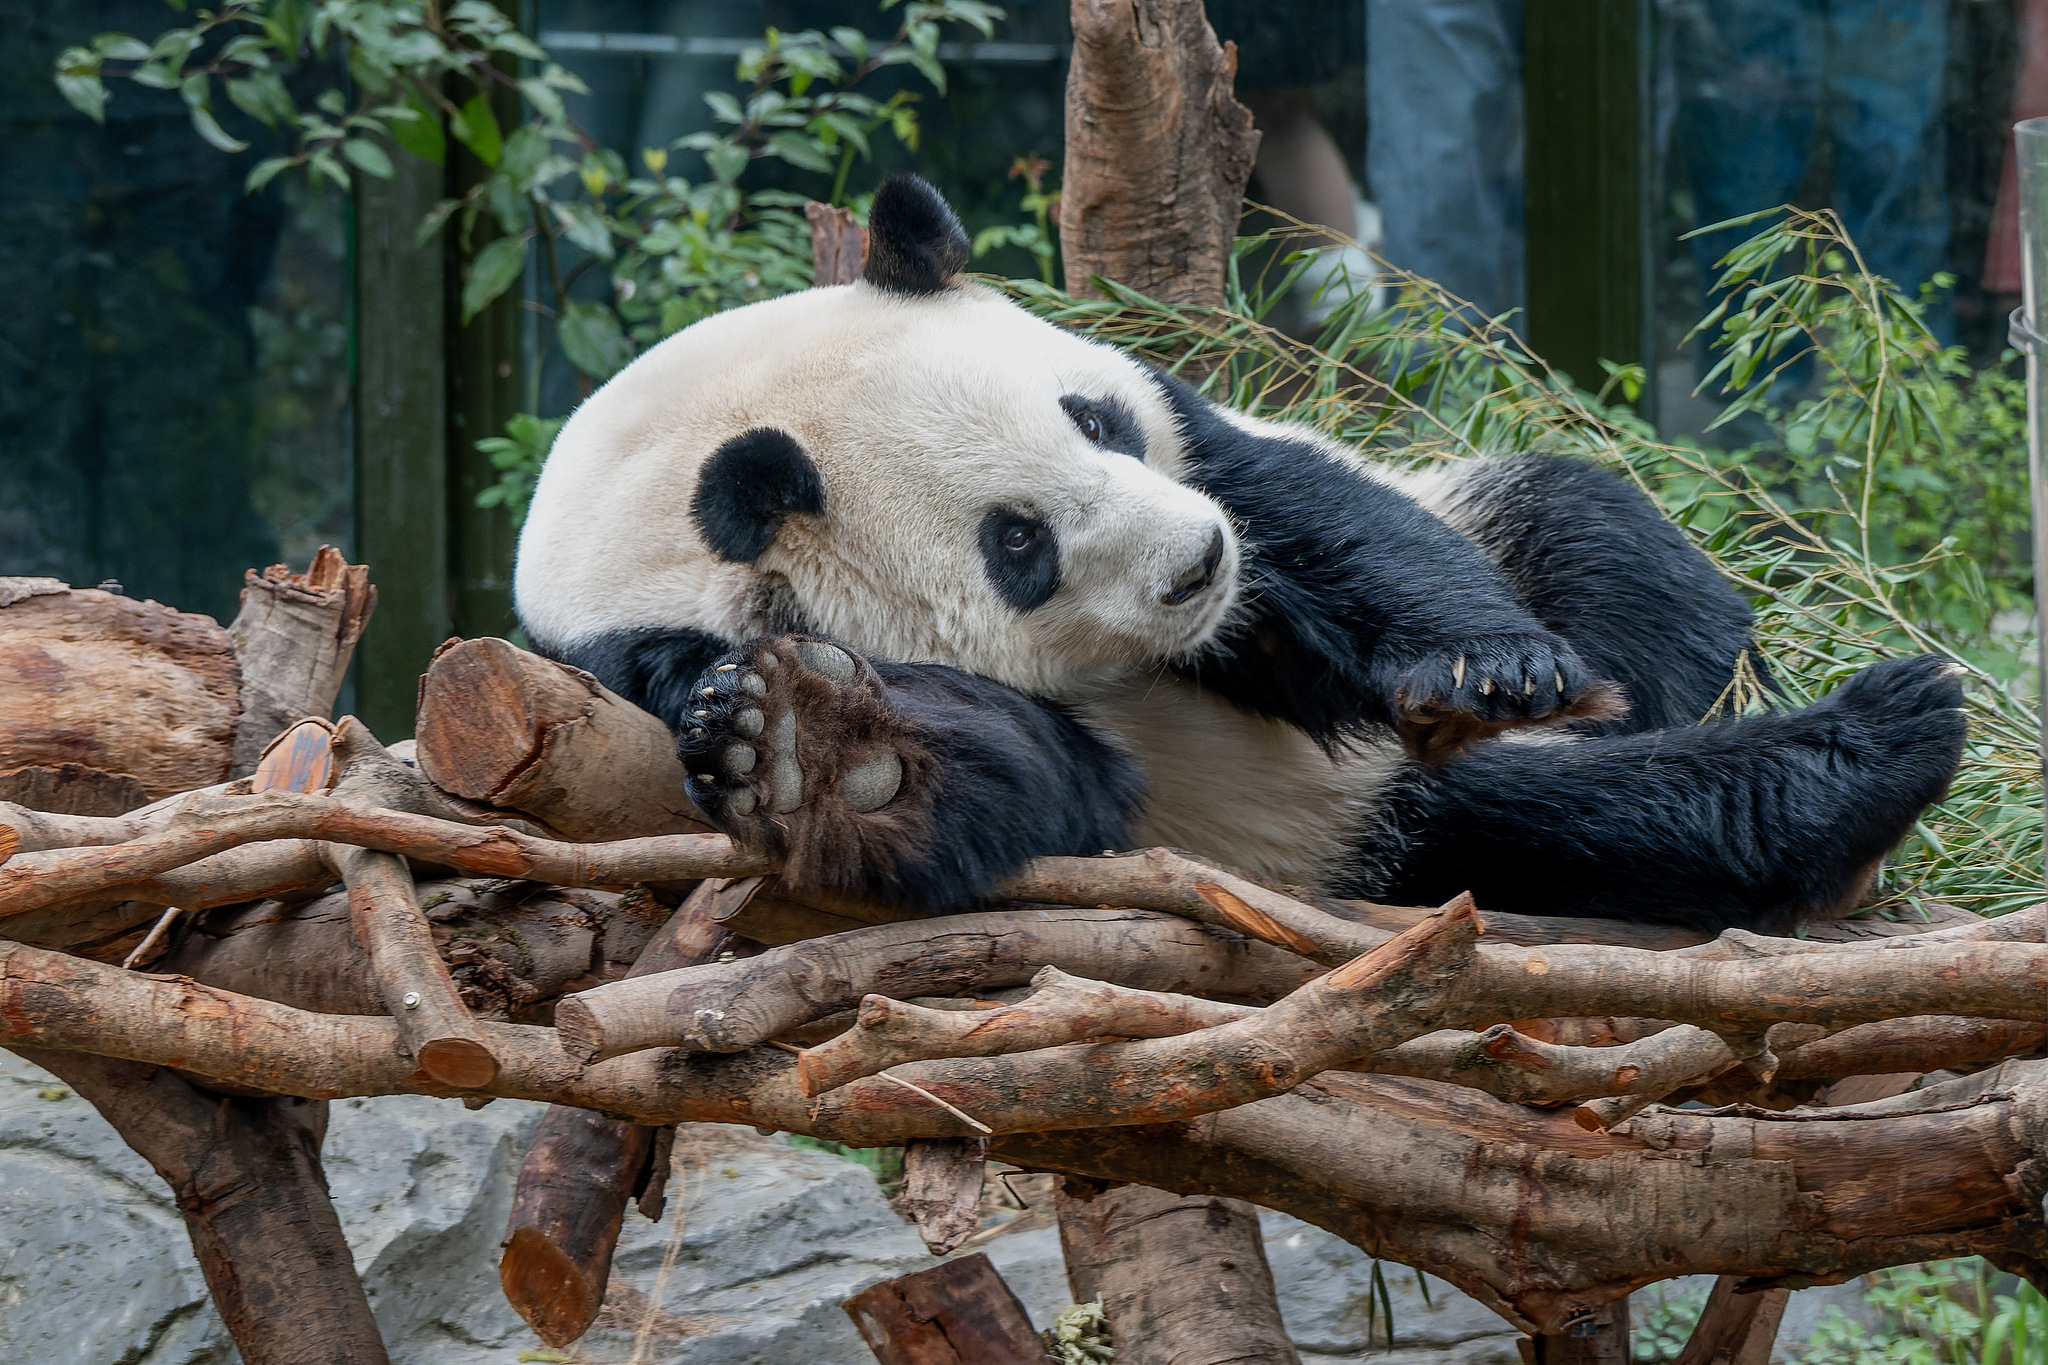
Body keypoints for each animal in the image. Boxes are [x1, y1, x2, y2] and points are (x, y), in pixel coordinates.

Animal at [514, 174, 1967, 934]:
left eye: (1092, 420)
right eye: (1015, 544)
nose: (1197, 569)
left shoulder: (1202, 440)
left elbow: (1319, 512)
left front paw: (1488, 665)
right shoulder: (648, 659)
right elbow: (1039, 782)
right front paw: (806, 751)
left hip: (1499, 519)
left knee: (1598, 540)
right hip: (1350, 835)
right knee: (1550, 818)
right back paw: (1869, 755)